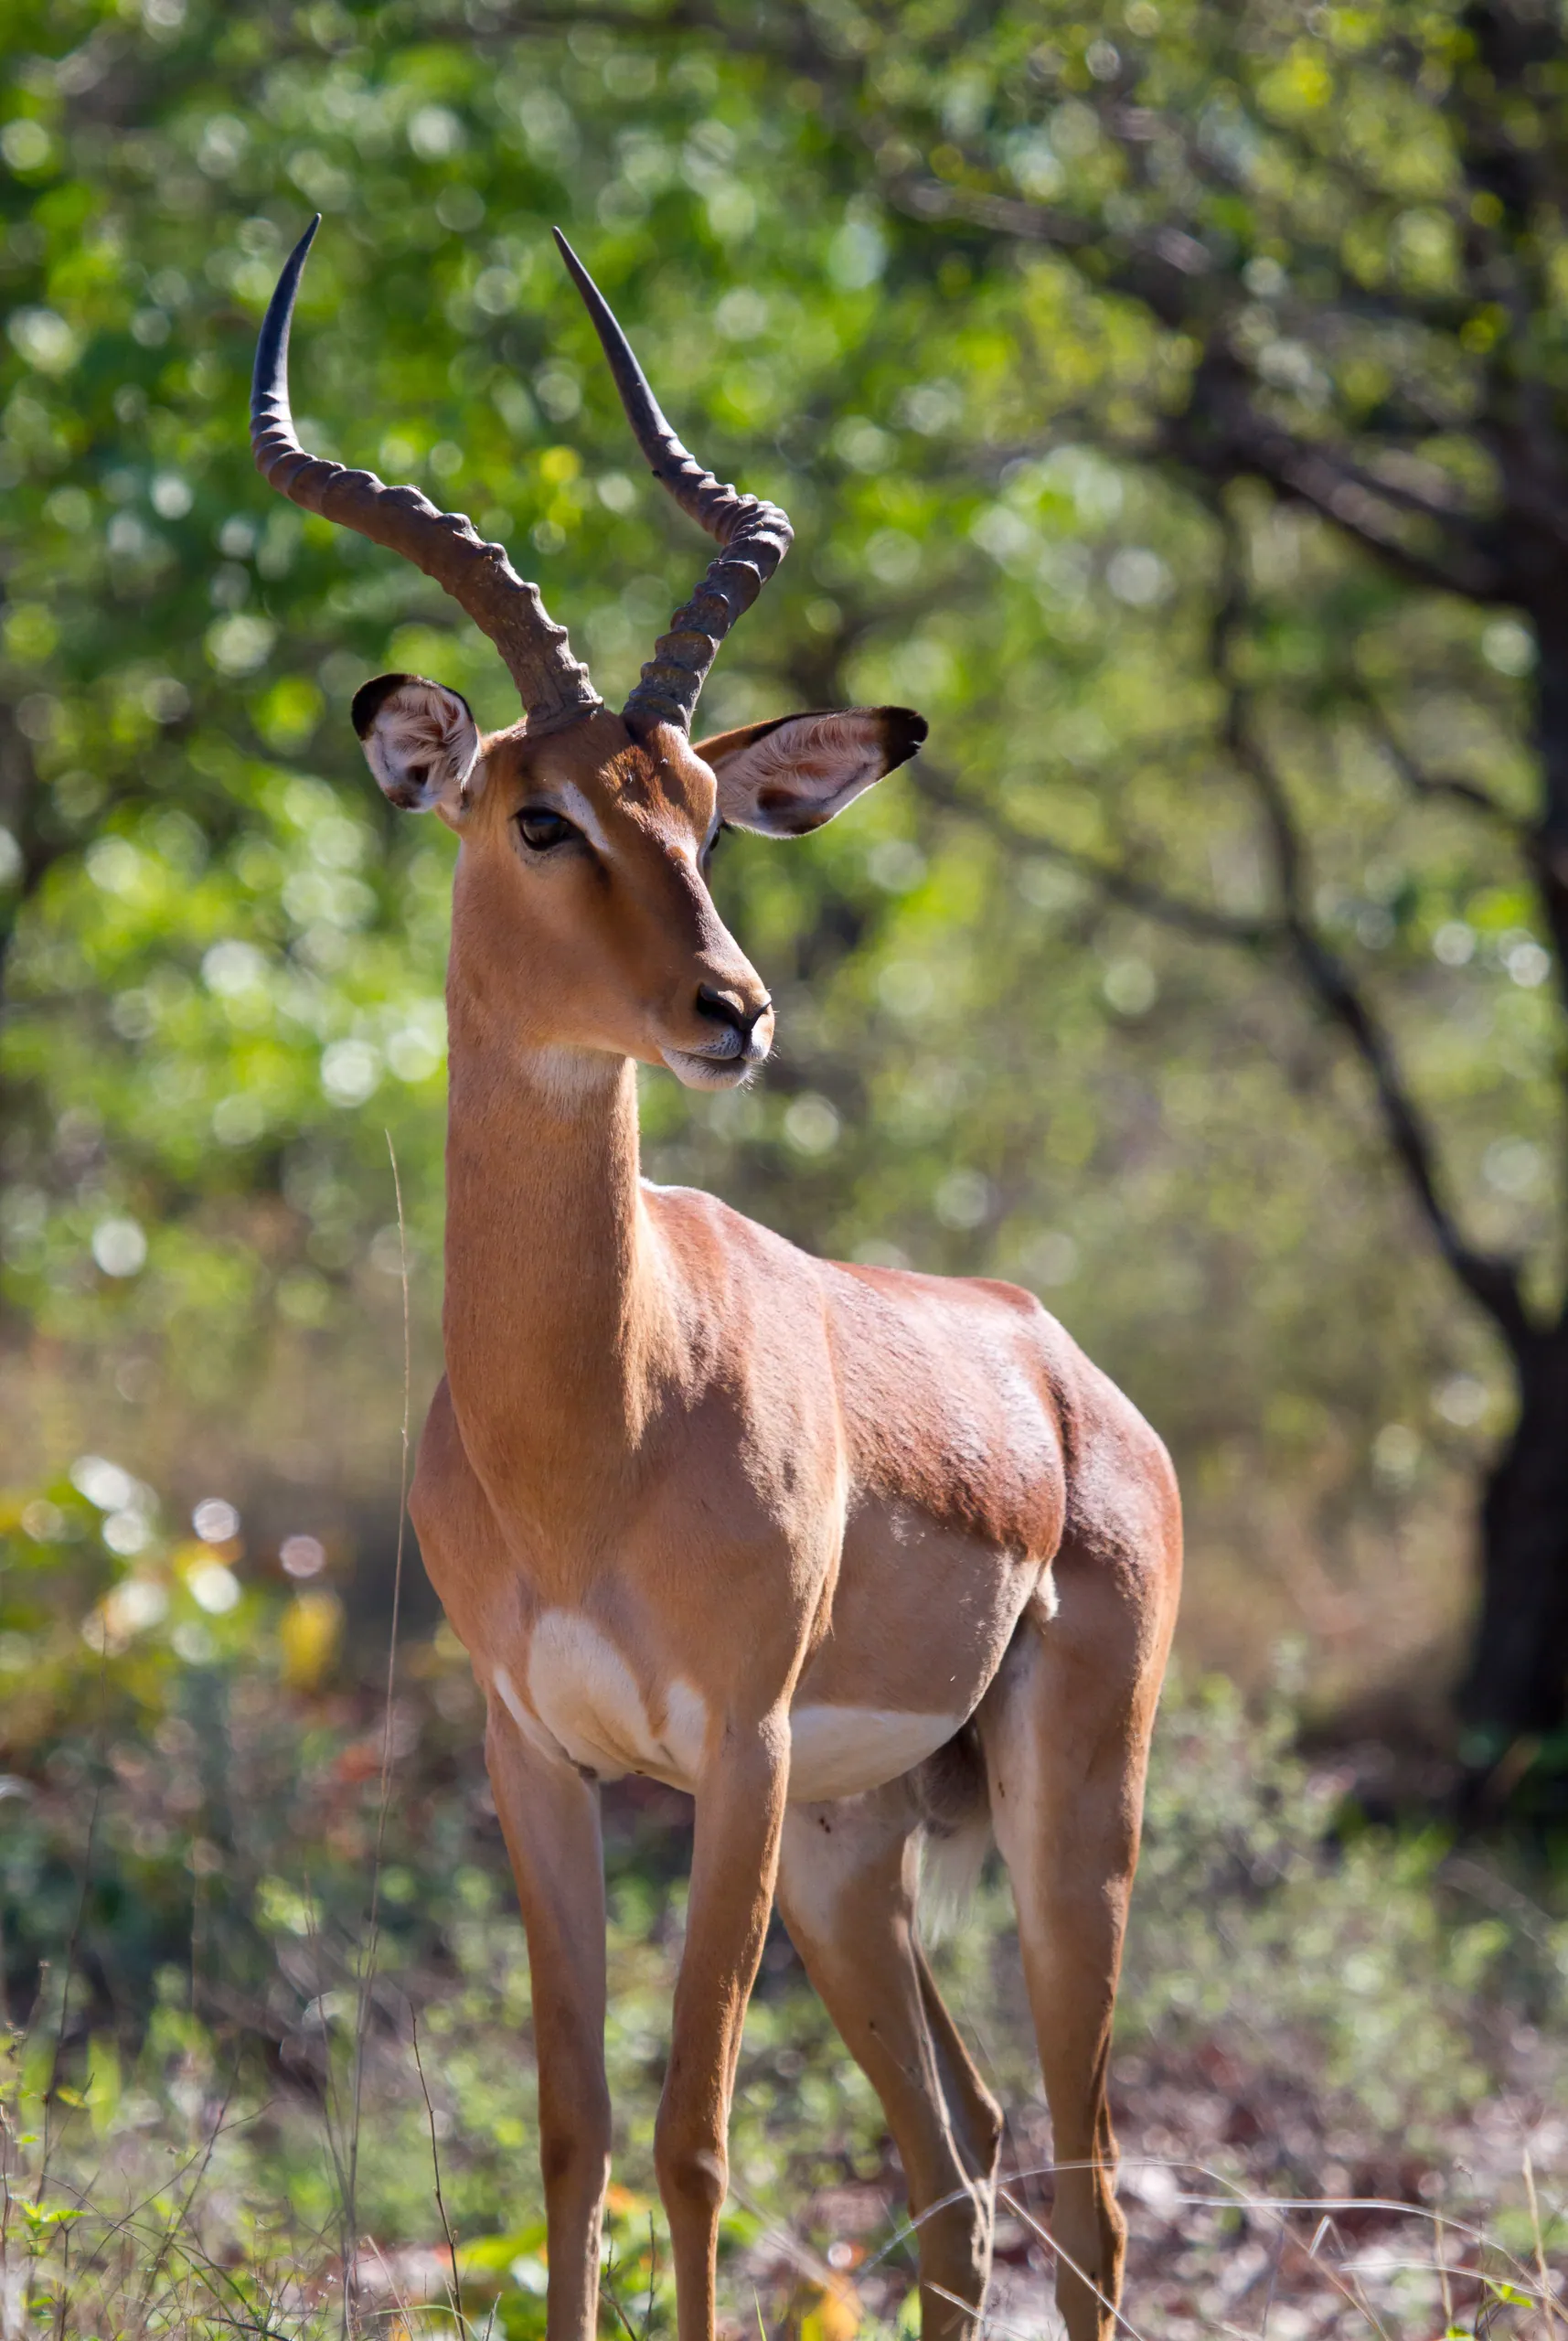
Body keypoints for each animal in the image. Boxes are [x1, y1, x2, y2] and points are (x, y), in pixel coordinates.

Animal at [252, 217, 1181, 2341]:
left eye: (698, 813)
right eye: (539, 813)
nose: (733, 1012)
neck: (586, 1424)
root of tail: (1064, 1369)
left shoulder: (731, 1759)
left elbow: (693, 2136)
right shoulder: (536, 1754)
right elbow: (575, 2132)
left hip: (1058, 1815)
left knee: (1083, 2183)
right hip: (858, 1848)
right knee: (962, 2163)